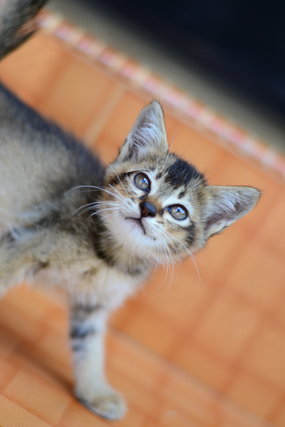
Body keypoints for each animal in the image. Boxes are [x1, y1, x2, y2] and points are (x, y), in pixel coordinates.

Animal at [0, 0, 260, 422]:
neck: (112, 257)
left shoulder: (94, 305)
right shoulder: (24, 245)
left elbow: (90, 347)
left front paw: (95, 391)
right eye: (141, 181)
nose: (148, 208)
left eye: (178, 212)